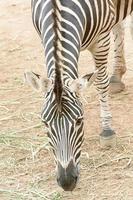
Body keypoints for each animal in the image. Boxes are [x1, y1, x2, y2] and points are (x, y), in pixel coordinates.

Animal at [24, 0, 133, 191]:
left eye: (79, 121)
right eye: (45, 123)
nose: (67, 182)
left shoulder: (101, 40)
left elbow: (101, 83)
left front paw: (107, 130)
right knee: (119, 25)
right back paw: (117, 75)